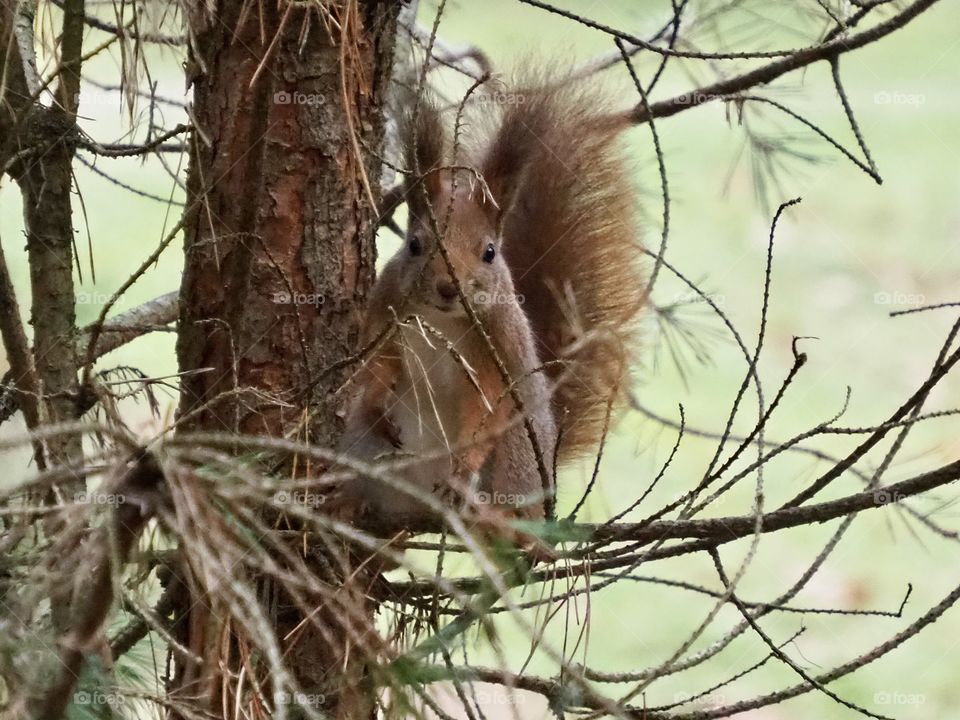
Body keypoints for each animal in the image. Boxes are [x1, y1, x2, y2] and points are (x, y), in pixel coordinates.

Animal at [336, 75, 644, 546]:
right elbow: (378, 364)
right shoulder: (385, 311)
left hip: (516, 455)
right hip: (362, 453)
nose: (449, 288)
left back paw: (494, 519)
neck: (441, 318)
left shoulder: (496, 351)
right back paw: (352, 507)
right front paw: (375, 405)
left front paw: (462, 469)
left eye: (489, 252)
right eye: (415, 244)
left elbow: (484, 407)